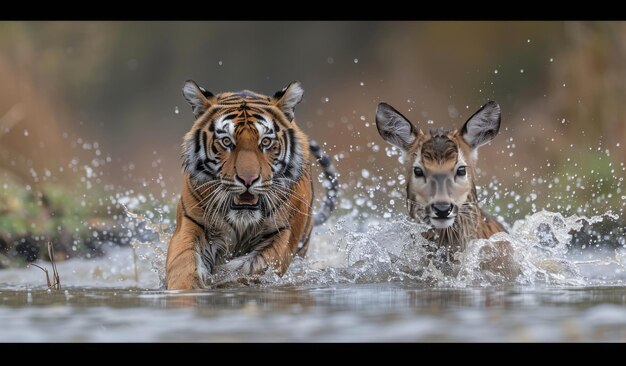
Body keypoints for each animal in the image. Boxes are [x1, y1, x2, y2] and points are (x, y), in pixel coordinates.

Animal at [166, 80, 336, 288]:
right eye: (226, 141)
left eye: (266, 142)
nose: (248, 180)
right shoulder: (192, 222)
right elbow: (183, 262)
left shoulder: (284, 232)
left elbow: (256, 265)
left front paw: (228, 279)